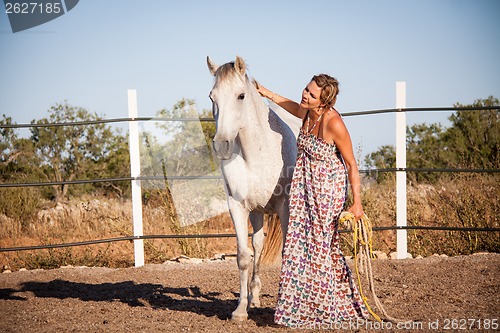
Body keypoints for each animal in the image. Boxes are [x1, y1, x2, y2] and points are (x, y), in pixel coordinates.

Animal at [206, 55, 296, 320]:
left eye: (241, 95)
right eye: (212, 97)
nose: (222, 145)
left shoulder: (285, 207)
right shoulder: (237, 206)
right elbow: (244, 256)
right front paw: (240, 310)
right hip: (256, 212)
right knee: (257, 244)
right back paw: (254, 296)